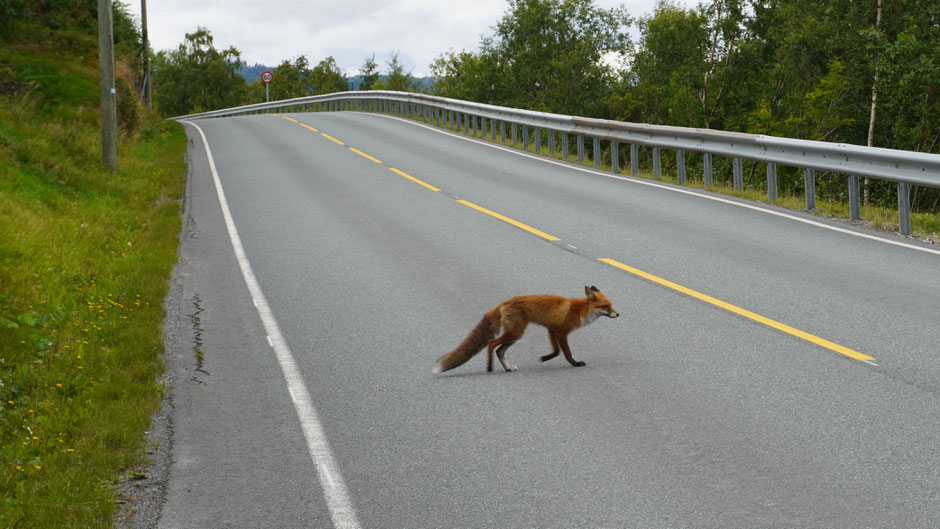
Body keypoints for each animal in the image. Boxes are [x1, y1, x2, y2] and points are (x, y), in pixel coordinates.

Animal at [434, 284, 616, 372]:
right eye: (605, 306)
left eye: (611, 305)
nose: (618, 314)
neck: (580, 310)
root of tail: (503, 303)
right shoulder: (562, 332)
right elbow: (566, 353)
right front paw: (575, 364)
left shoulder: (551, 329)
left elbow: (556, 351)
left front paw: (545, 358)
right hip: (516, 333)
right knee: (492, 344)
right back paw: (490, 367)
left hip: (516, 335)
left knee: (499, 350)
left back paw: (507, 368)